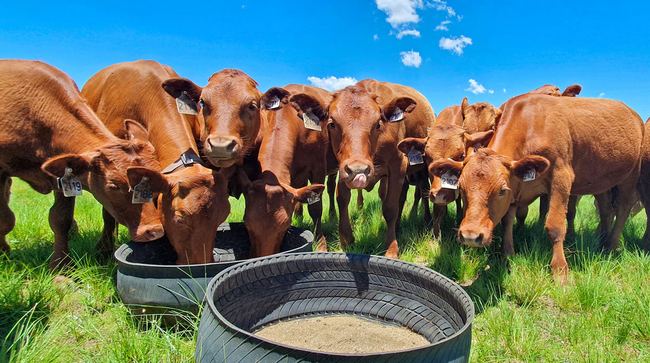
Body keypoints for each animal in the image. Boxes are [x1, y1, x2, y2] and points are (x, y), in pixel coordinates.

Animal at [0, 59, 165, 270]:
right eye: (113, 186)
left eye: (157, 179)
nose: (154, 230)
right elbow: (5, 219)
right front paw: (4, 254)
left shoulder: (63, 176)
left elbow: (60, 219)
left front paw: (61, 263)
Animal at [294, 79, 436, 258]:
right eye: (332, 124)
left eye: (378, 125)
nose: (358, 170)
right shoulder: (344, 167)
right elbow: (342, 198)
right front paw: (346, 238)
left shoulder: (398, 166)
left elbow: (390, 207)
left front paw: (391, 248)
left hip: (422, 169)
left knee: (423, 191)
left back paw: (427, 221)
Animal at [430, 94, 644, 282]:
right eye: (461, 188)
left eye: (501, 190)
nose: (470, 236)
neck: (531, 126)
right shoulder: (516, 184)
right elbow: (508, 220)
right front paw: (508, 253)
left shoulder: (561, 177)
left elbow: (555, 226)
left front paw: (560, 271)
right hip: (602, 182)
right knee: (606, 210)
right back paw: (602, 242)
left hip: (631, 176)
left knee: (623, 210)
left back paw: (610, 247)